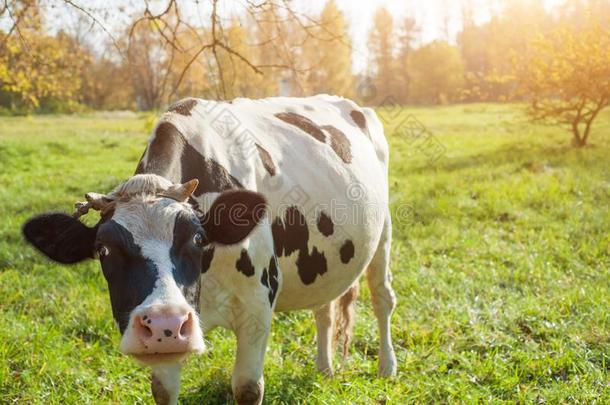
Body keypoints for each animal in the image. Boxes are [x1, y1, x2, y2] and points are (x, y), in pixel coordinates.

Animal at [22, 95, 394, 404]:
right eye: (103, 250)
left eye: (199, 239)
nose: (165, 323)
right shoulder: (166, 346)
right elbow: (163, 390)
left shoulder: (258, 303)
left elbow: (247, 388)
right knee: (325, 308)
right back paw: (324, 369)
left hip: (385, 231)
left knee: (382, 299)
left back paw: (386, 368)